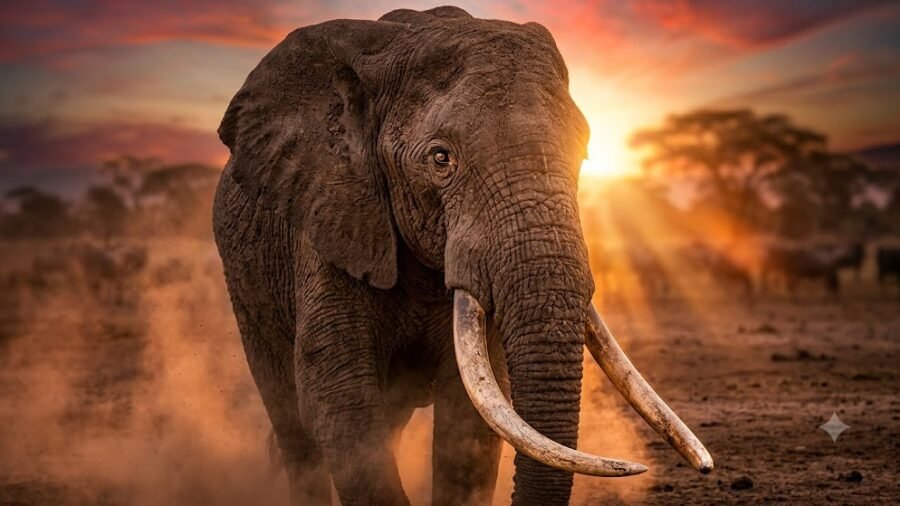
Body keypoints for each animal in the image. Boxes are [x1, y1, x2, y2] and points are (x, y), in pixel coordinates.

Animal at [212, 6, 712, 505]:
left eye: (584, 154)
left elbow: (471, 421)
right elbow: (340, 402)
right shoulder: (333, 214)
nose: (704, 467)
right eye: (440, 158)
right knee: (293, 424)